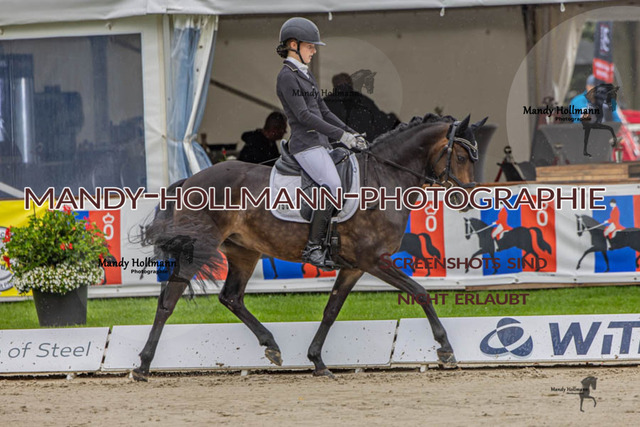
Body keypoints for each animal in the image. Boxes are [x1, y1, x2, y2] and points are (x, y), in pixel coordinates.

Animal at [132, 113, 488, 381]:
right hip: (202, 249)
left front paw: (317, 360)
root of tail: (189, 181)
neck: (384, 177)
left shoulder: (354, 266)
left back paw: (271, 346)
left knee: (231, 297)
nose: (468, 197)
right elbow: (420, 292)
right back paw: (143, 366)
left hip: (244, 251)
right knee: (168, 301)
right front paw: (446, 349)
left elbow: (331, 310)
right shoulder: (373, 259)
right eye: (459, 156)